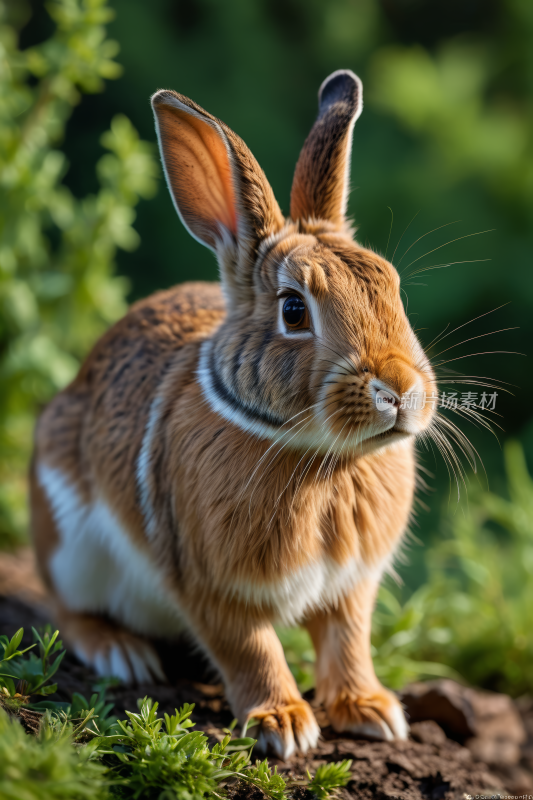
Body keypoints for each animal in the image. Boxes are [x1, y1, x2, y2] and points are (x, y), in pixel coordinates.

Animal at [30, 69, 436, 756]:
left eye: (393, 287)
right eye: (294, 310)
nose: (400, 390)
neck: (322, 458)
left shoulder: (350, 586)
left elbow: (348, 643)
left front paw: (371, 710)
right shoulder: (211, 585)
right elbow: (251, 650)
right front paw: (284, 724)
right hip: (67, 542)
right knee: (64, 608)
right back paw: (121, 653)